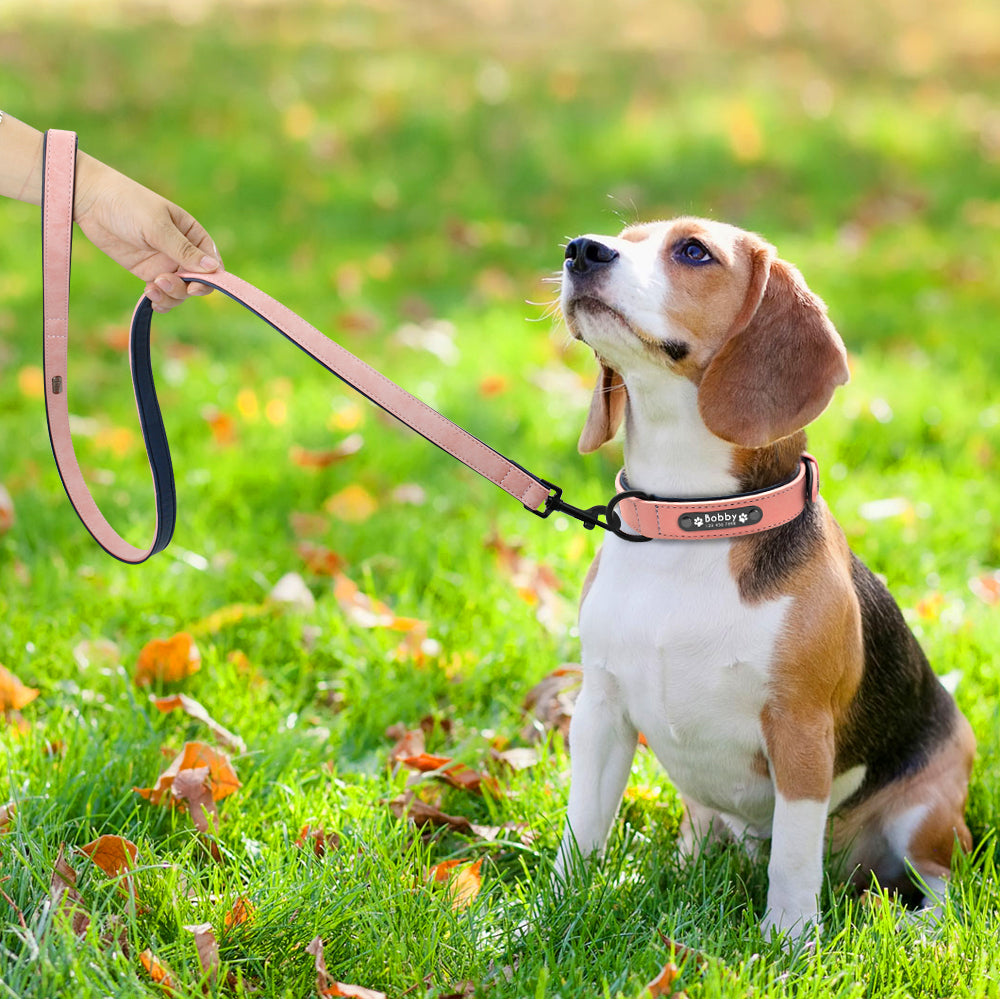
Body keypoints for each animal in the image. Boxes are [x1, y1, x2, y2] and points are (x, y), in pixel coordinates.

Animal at [556, 217, 976, 936]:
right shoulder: (601, 710)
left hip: (929, 811)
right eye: (623, 236)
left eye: (693, 251)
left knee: (939, 881)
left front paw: (789, 943)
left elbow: (794, 860)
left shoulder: (800, 731)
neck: (690, 520)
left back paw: (918, 930)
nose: (581, 250)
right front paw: (548, 915)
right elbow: (581, 830)